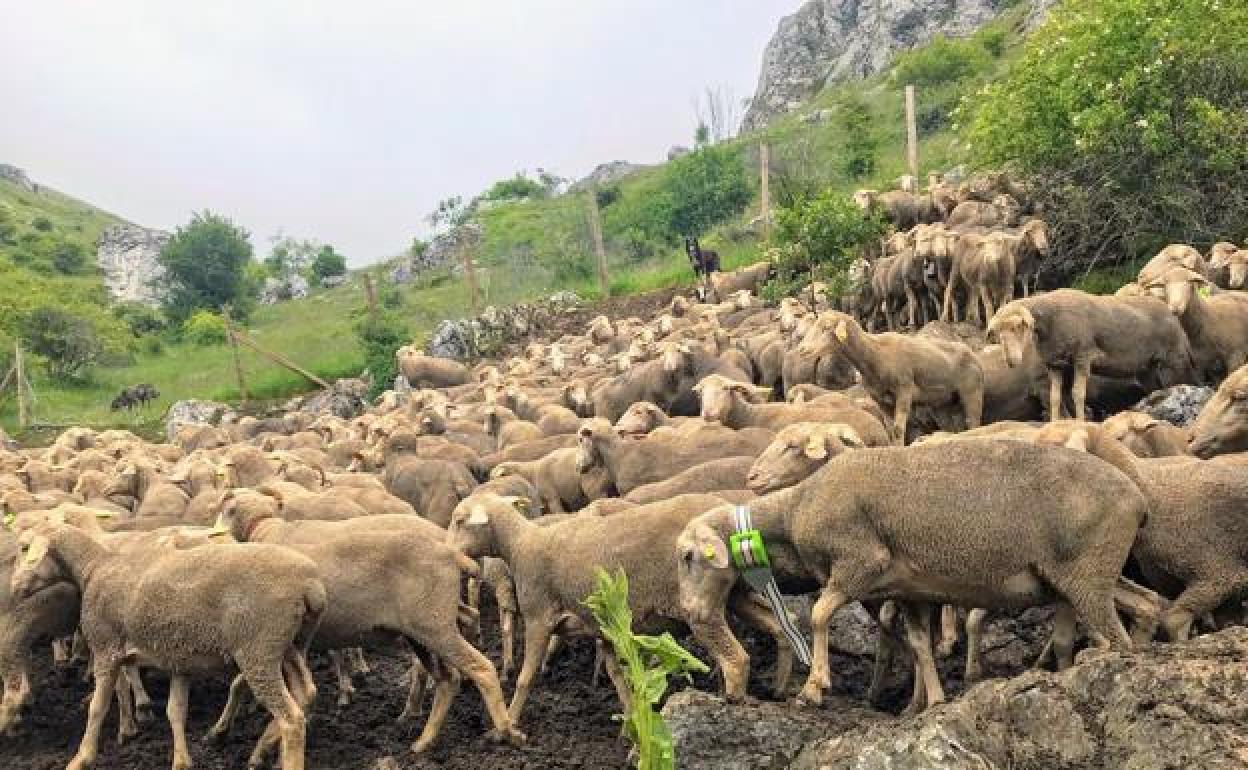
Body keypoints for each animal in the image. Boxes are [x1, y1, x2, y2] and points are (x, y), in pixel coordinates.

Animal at [12, 526, 324, 768]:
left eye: (25, 548)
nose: (14, 589)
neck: (93, 568)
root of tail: (311, 587)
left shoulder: (106, 648)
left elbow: (98, 707)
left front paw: (82, 758)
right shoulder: (179, 661)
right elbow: (175, 711)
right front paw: (182, 761)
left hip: (258, 649)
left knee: (291, 719)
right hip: (289, 645)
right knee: (306, 693)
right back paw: (264, 749)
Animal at [449, 491, 798, 718]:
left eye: (458, 520)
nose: (447, 548)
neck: (520, 545)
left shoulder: (538, 617)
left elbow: (525, 677)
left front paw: (508, 723)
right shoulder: (603, 626)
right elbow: (618, 677)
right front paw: (631, 720)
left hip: (700, 603)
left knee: (736, 658)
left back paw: (729, 705)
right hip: (737, 595)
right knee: (782, 625)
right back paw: (779, 690)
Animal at [683, 439, 1148, 708]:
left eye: (688, 556)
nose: (688, 610)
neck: (794, 510)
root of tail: (1137, 497)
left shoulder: (860, 563)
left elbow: (817, 615)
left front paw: (814, 686)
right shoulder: (908, 589)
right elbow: (921, 645)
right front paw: (933, 702)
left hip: (1088, 575)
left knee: (1118, 639)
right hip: (1079, 576)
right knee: (1146, 604)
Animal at [798, 310, 983, 441]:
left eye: (826, 327)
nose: (801, 349)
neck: (875, 355)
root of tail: (972, 354)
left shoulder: (904, 390)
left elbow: (898, 430)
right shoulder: (880, 400)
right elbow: (890, 431)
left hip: (972, 391)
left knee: (973, 421)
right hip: (945, 402)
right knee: (955, 426)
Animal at [988, 288, 1193, 419]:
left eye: (1018, 326)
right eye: (998, 333)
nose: (1012, 361)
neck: (1050, 322)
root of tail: (1171, 314)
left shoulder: (1082, 358)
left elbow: (1078, 393)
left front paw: (1080, 422)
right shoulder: (1055, 365)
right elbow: (1055, 398)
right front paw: (1055, 423)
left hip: (1175, 359)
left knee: (1182, 384)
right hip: (1146, 369)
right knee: (1154, 389)